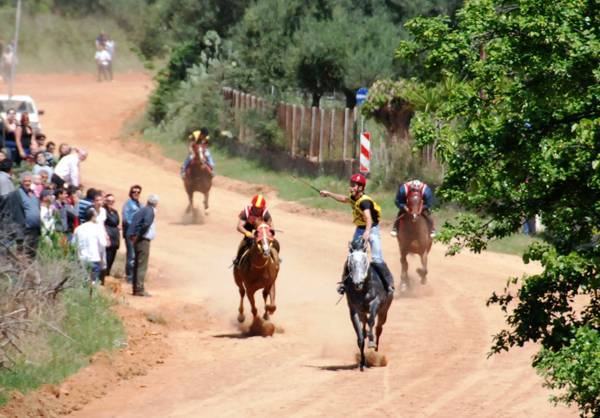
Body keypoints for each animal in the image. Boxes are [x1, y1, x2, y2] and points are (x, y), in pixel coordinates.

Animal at [344, 240, 392, 370]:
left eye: (365, 261)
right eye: (350, 263)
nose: (357, 283)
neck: (363, 290)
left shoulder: (375, 303)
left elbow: (371, 322)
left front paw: (371, 343)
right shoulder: (354, 309)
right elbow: (360, 336)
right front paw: (362, 362)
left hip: (384, 311)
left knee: (378, 328)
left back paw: (376, 351)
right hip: (363, 312)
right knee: (364, 325)